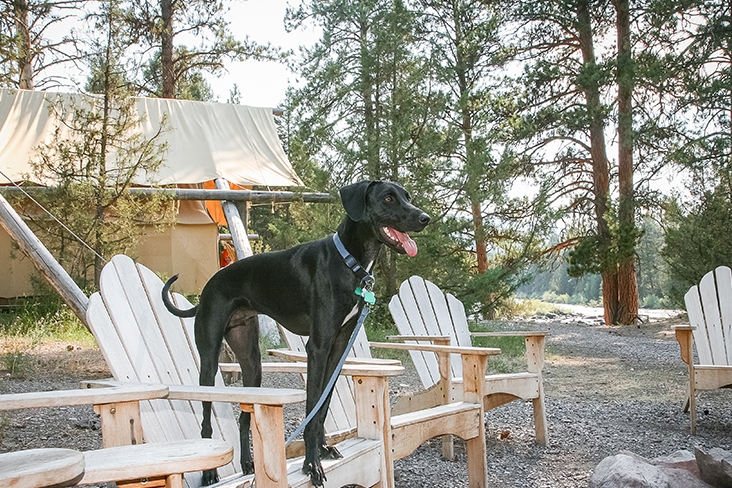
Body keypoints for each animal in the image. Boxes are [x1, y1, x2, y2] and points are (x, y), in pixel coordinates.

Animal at [162, 181, 428, 486]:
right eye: (388, 198)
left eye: (407, 196)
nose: (425, 218)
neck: (348, 261)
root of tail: (209, 286)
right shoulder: (318, 347)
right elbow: (311, 411)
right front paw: (311, 465)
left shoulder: (338, 349)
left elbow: (322, 407)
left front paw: (323, 450)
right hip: (209, 360)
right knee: (206, 421)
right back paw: (209, 474)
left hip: (251, 362)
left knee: (244, 416)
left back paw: (247, 464)